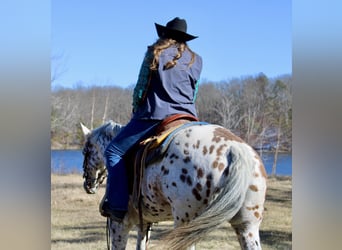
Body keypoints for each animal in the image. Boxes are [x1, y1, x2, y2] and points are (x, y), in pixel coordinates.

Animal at [80, 120, 268, 249]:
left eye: (85, 151)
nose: (88, 184)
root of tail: (235, 149)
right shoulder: (145, 223)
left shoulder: (118, 224)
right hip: (247, 226)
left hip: (185, 224)